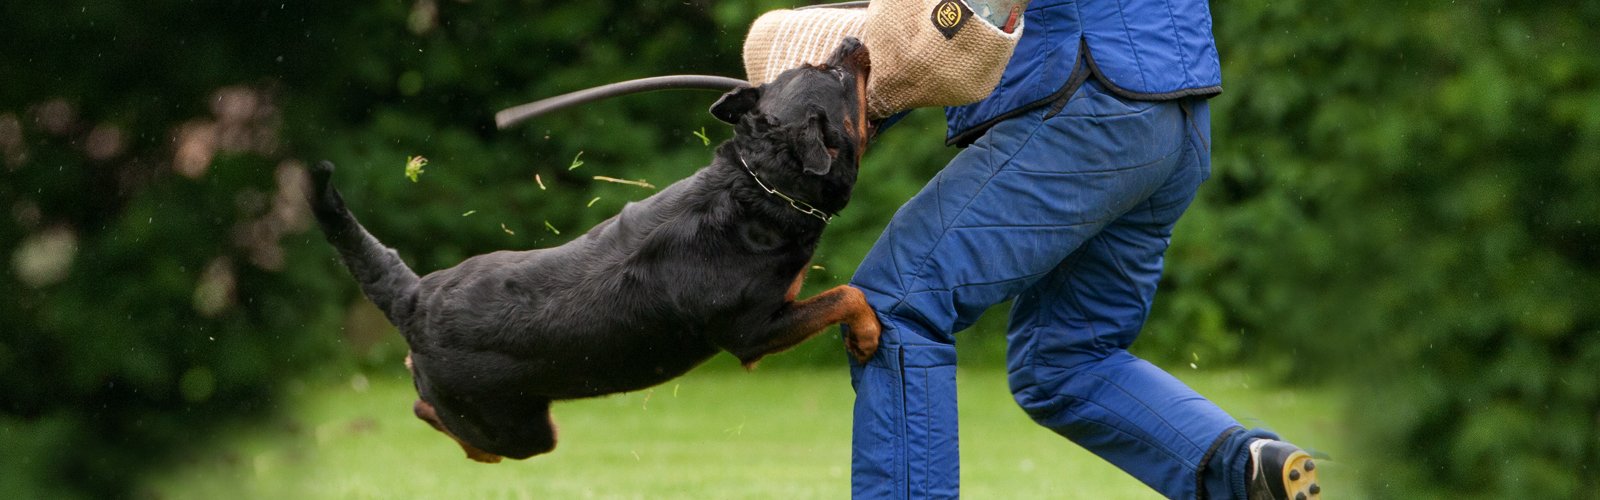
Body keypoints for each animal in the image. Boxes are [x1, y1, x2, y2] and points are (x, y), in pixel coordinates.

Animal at [307, 38, 879, 463]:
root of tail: (414, 297)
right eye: (834, 75)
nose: (853, 41)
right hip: (516, 427)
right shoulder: (753, 332)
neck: (758, 186)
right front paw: (868, 333)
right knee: (440, 420)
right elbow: (846, 295)